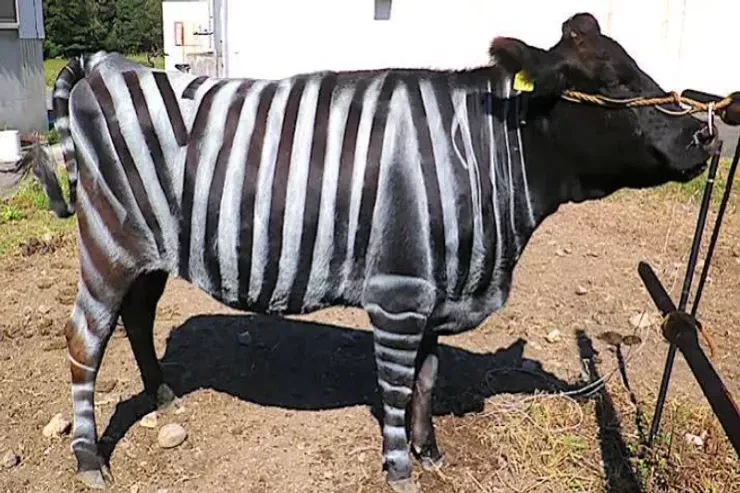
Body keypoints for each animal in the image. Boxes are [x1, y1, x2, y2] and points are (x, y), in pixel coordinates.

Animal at [29, 13, 714, 493]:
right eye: (608, 84)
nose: (704, 133)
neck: (479, 157)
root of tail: (107, 65)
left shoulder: (438, 289)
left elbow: (427, 378)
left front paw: (429, 452)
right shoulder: (399, 294)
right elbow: (396, 384)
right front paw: (399, 468)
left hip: (151, 249)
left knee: (138, 316)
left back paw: (165, 396)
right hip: (109, 243)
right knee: (85, 339)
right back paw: (89, 460)